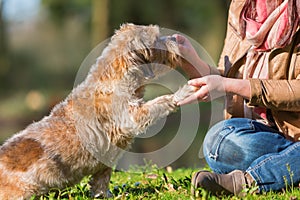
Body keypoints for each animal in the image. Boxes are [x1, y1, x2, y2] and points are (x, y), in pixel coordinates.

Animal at [0, 23, 196, 198]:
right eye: (156, 38)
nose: (175, 38)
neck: (115, 78)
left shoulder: (105, 163)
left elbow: (101, 181)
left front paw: (104, 194)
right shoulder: (131, 117)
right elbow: (160, 101)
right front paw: (183, 93)